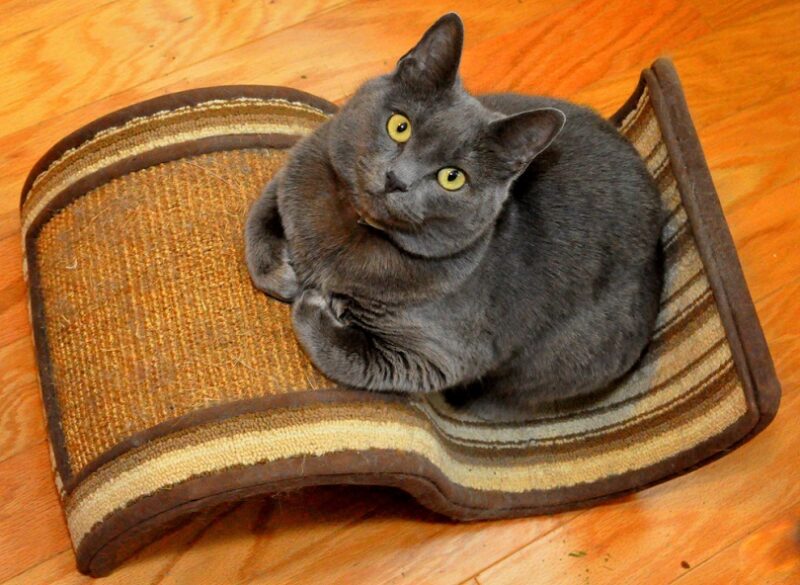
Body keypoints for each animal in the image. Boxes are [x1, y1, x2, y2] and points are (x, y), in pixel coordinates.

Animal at [244, 13, 664, 420]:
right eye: (400, 126)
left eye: (452, 177)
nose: (397, 179)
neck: (349, 232)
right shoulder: (297, 171)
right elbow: (258, 220)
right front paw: (283, 275)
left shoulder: (439, 356)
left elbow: (350, 357)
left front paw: (314, 300)